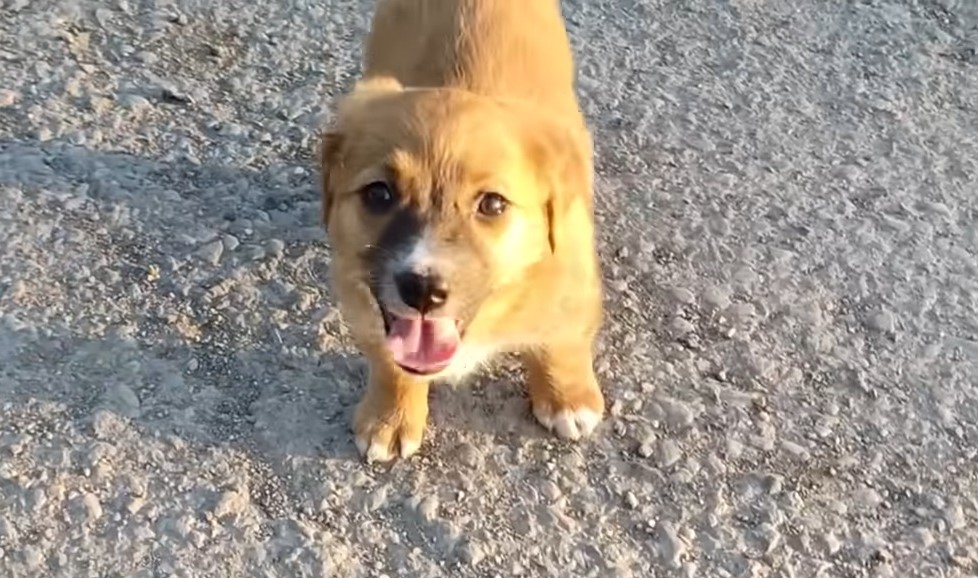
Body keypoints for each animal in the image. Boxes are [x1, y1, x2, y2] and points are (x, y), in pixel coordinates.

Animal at [316, 0, 604, 460]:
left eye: (493, 204)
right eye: (378, 193)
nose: (422, 291)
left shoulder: (573, 281)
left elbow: (564, 341)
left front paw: (567, 399)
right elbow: (389, 359)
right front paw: (389, 417)